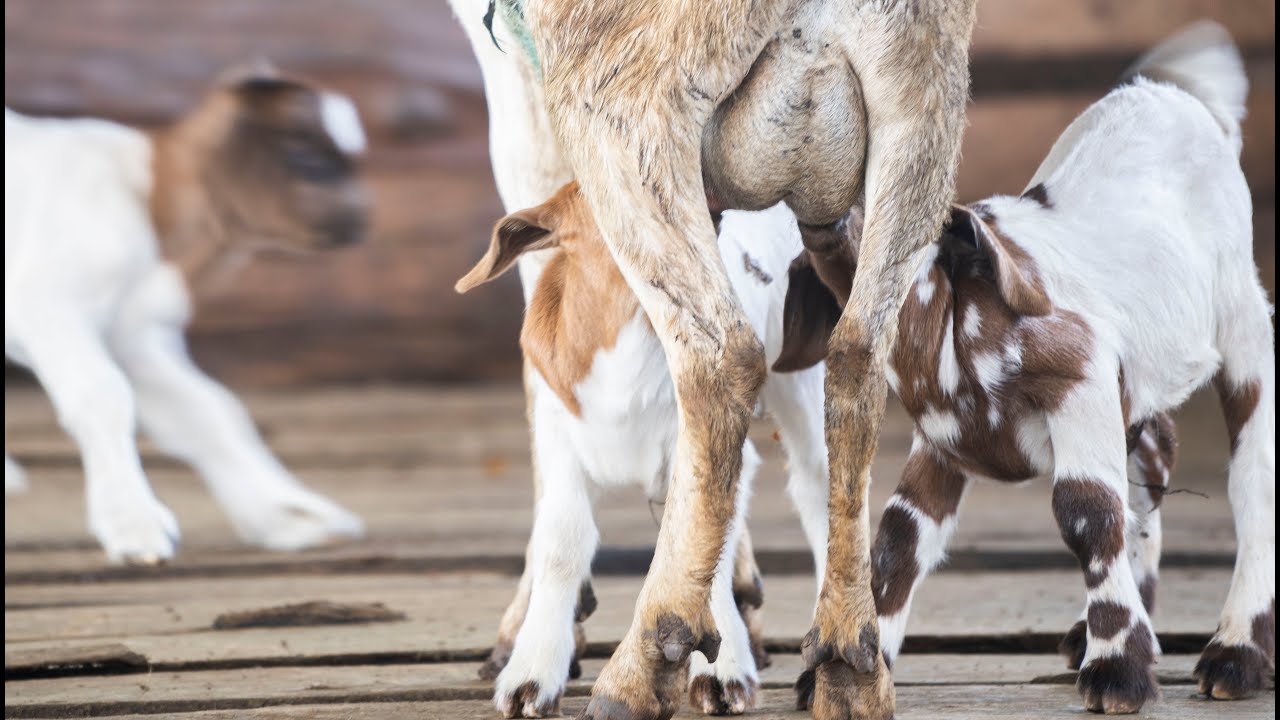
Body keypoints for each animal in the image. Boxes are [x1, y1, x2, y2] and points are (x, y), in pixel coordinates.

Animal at [4, 62, 369, 564]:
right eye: (304, 156)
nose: (359, 222)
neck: (149, 205)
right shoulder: (50, 302)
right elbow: (103, 395)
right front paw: (133, 523)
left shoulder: (135, 336)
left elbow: (208, 412)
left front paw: (286, 516)